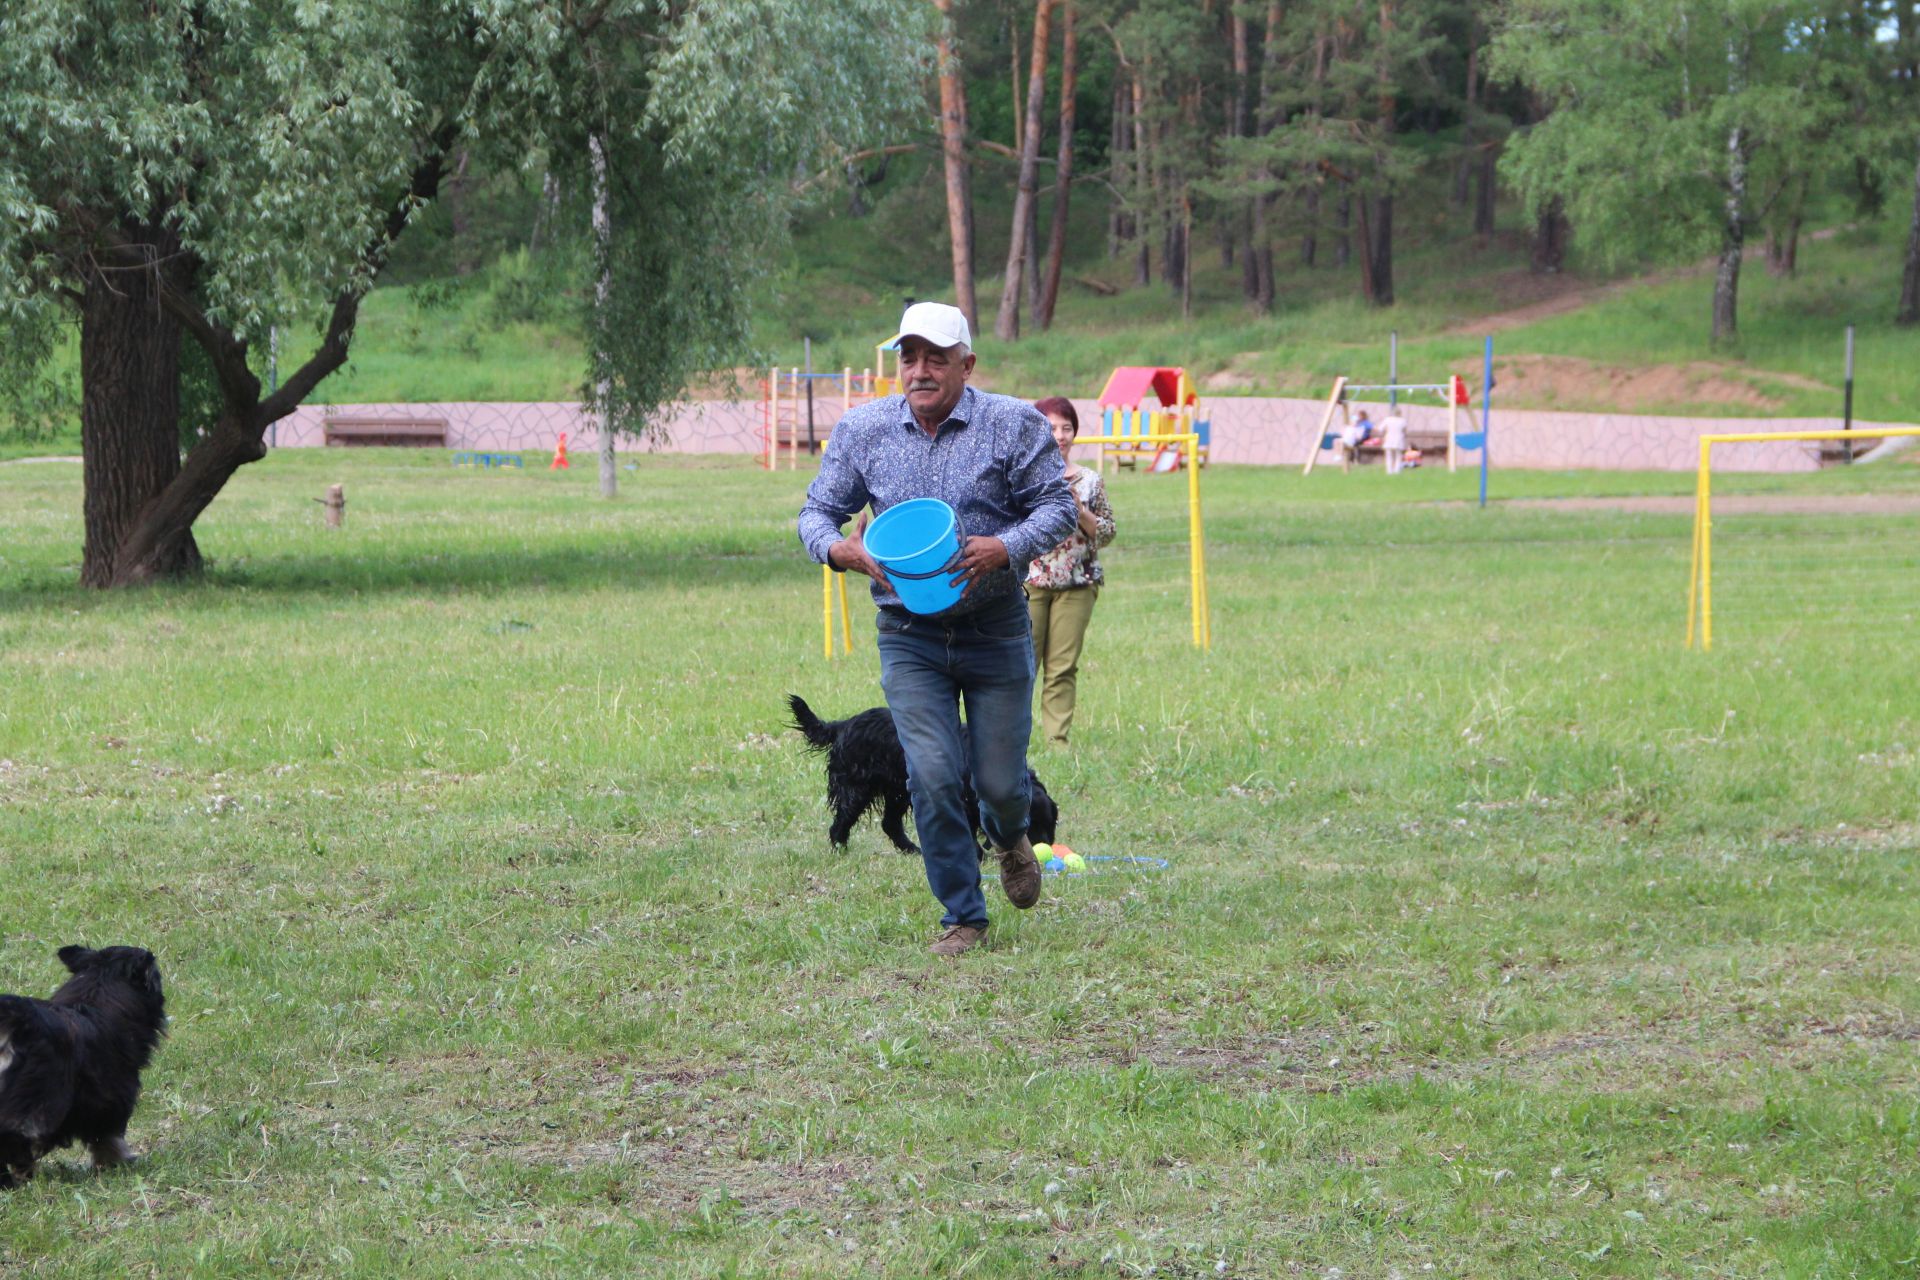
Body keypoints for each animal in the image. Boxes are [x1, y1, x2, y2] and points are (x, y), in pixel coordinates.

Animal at [783, 694, 1067, 855]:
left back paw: (913, 851)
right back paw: (841, 849)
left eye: (1049, 823)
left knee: (890, 824)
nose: (1046, 847)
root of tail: (843, 724)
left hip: (898, 791)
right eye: (1032, 825)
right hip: (858, 789)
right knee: (841, 823)